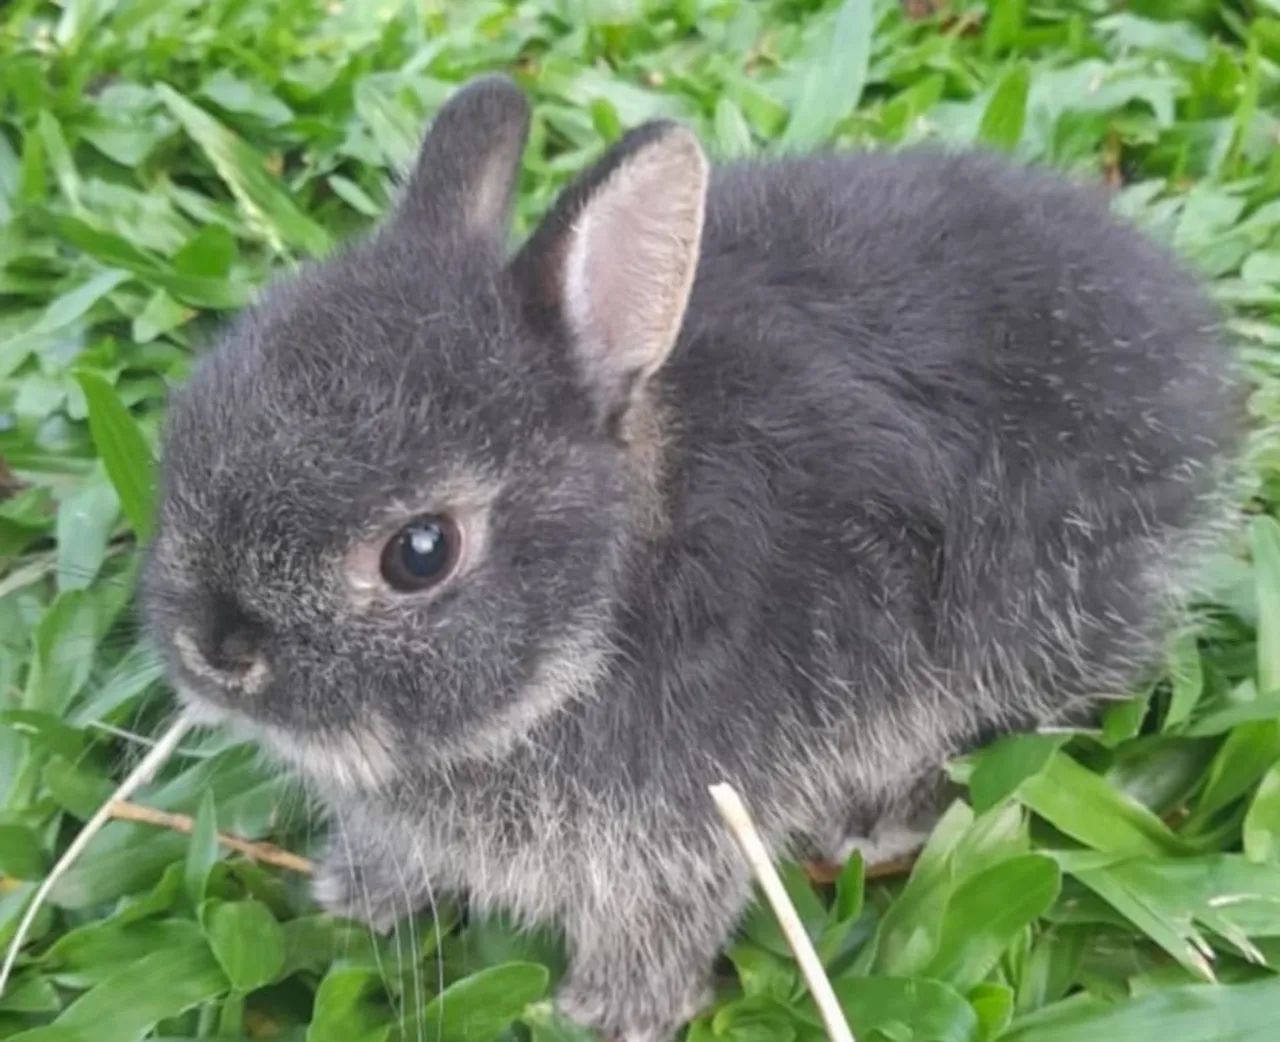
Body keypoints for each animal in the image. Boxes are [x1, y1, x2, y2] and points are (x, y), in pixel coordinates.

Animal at [143, 75, 1240, 1042]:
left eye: (420, 552)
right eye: (186, 420)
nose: (215, 651)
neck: (607, 600)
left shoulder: (677, 833)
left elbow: (660, 921)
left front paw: (608, 1014)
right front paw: (352, 895)